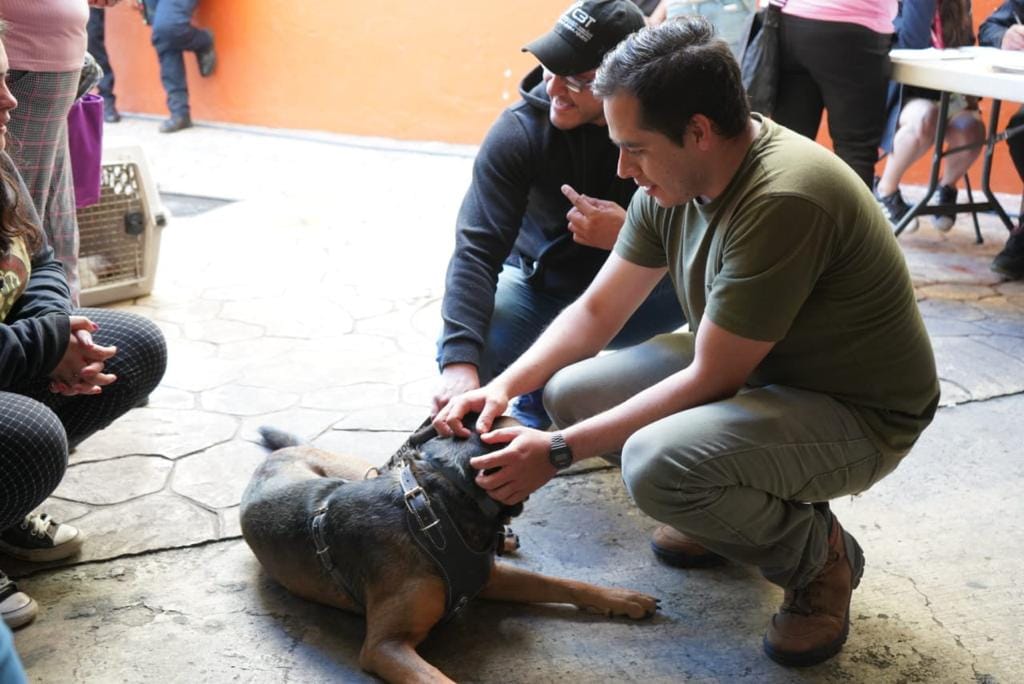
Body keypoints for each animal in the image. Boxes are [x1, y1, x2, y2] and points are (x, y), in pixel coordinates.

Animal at [237, 417, 655, 684]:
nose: (557, 444)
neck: (440, 503)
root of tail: (277, 456)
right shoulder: (385, 646)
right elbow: (437, 678)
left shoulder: (488, 576)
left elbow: (560, 582)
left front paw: (623, 598)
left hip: (358, 470)